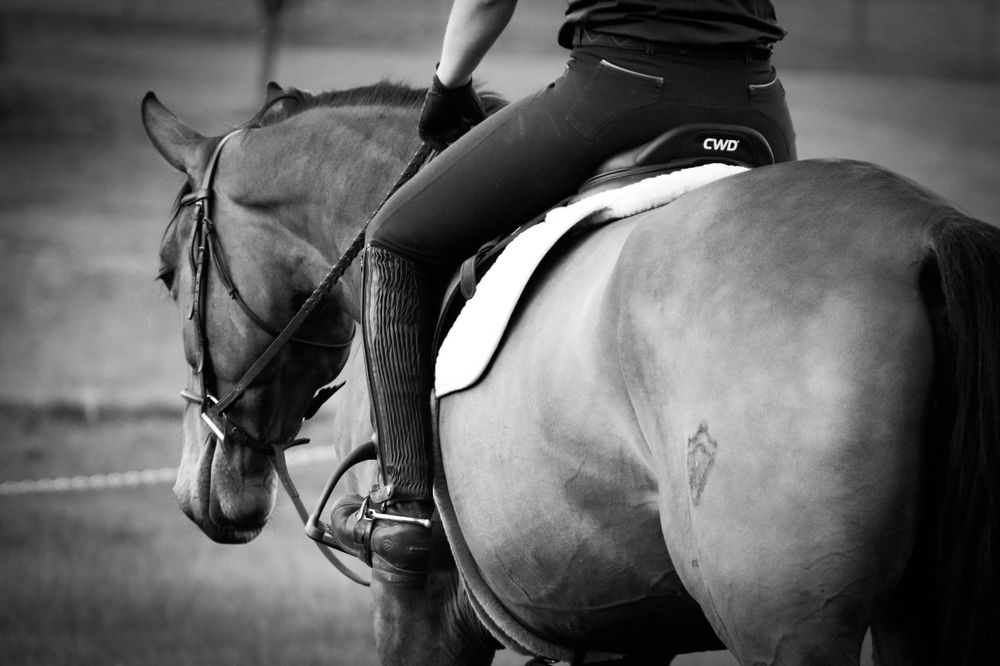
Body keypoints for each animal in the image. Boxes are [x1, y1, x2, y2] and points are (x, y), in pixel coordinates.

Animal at [141, 81, 1000, 665]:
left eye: (167, 275)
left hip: (786, 624)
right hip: (909, 615)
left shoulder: (413, 590)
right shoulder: (621, 621)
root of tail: (927, 234)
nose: (201, 491)